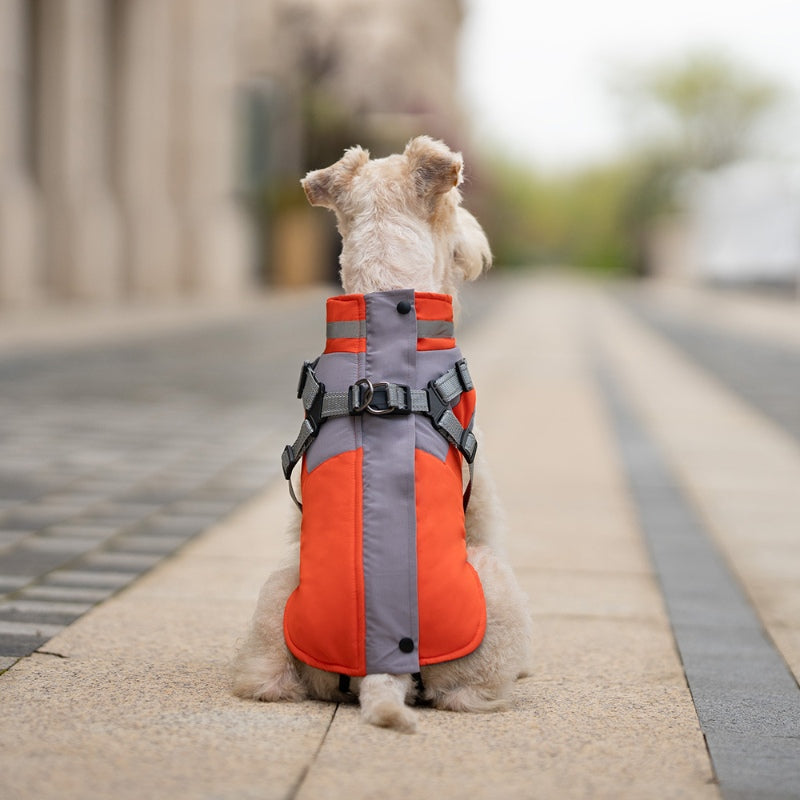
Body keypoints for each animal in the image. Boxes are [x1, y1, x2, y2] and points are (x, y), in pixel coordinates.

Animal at [231, 136, 532, 732]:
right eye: (454, 202)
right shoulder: (481, 503)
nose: (480, 248)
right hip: (493, 585)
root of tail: (384, 660)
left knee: (265, 680)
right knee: (468, 694)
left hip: (279, 593)